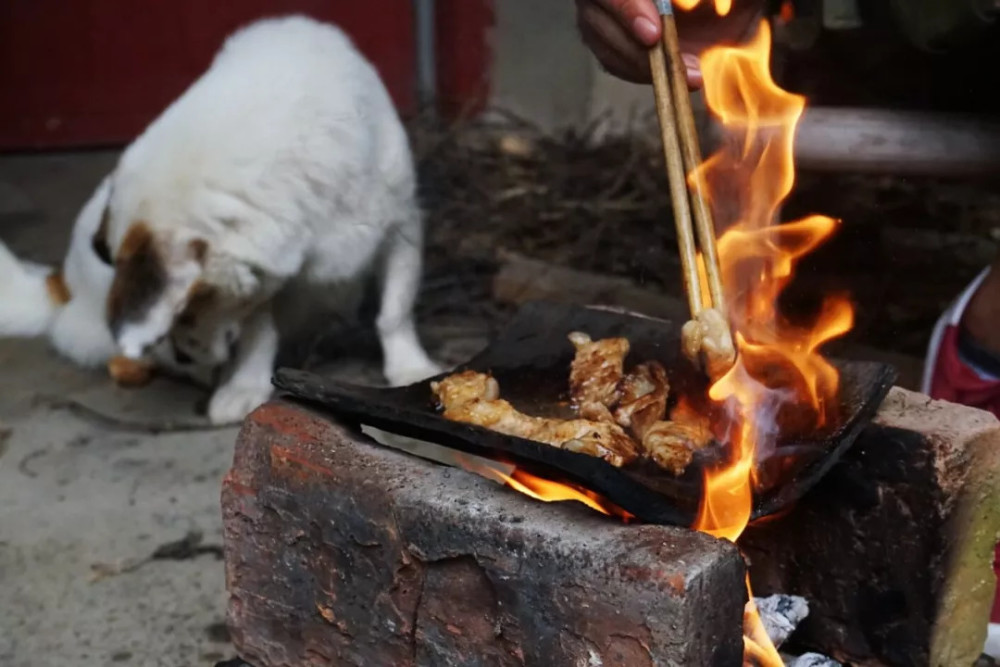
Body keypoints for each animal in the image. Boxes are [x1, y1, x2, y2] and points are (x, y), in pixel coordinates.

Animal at [0, 15, 442, 426]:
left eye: (189, 308)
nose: (182, 355)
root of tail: (62, 280)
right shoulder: (263, 282)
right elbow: (259, 333)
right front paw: (245, 385)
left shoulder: (402, 227)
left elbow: (393, 313)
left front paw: (409, 367)